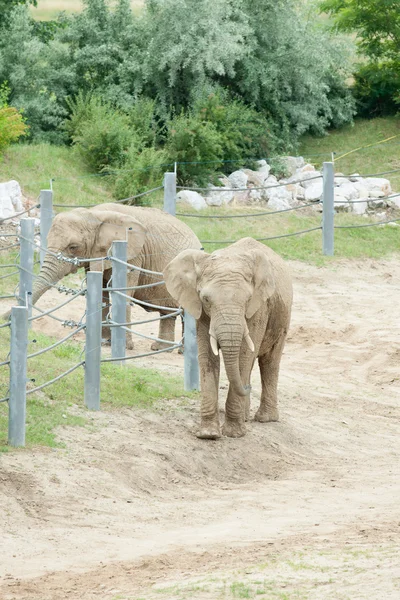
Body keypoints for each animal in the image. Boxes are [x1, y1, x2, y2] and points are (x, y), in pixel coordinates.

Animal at [29, 204, 202, 350]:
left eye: (73, 247)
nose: (32, 338)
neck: (96, 214)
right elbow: (101, 292)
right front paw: (104, 343)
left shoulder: (132, 255)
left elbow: (124, 291)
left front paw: (125, 347)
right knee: (167, 313)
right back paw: (161, 349)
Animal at [164, 237, 292, 438]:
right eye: (206, 299)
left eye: (247, 300)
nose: (248, 389)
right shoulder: (202, 313)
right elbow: (208, 357)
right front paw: (208, 434)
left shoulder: (259, 308)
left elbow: (244, 356)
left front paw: (234, 434)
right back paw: (246, 416)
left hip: (282, 316)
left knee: (269, 361)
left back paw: (265, 418)